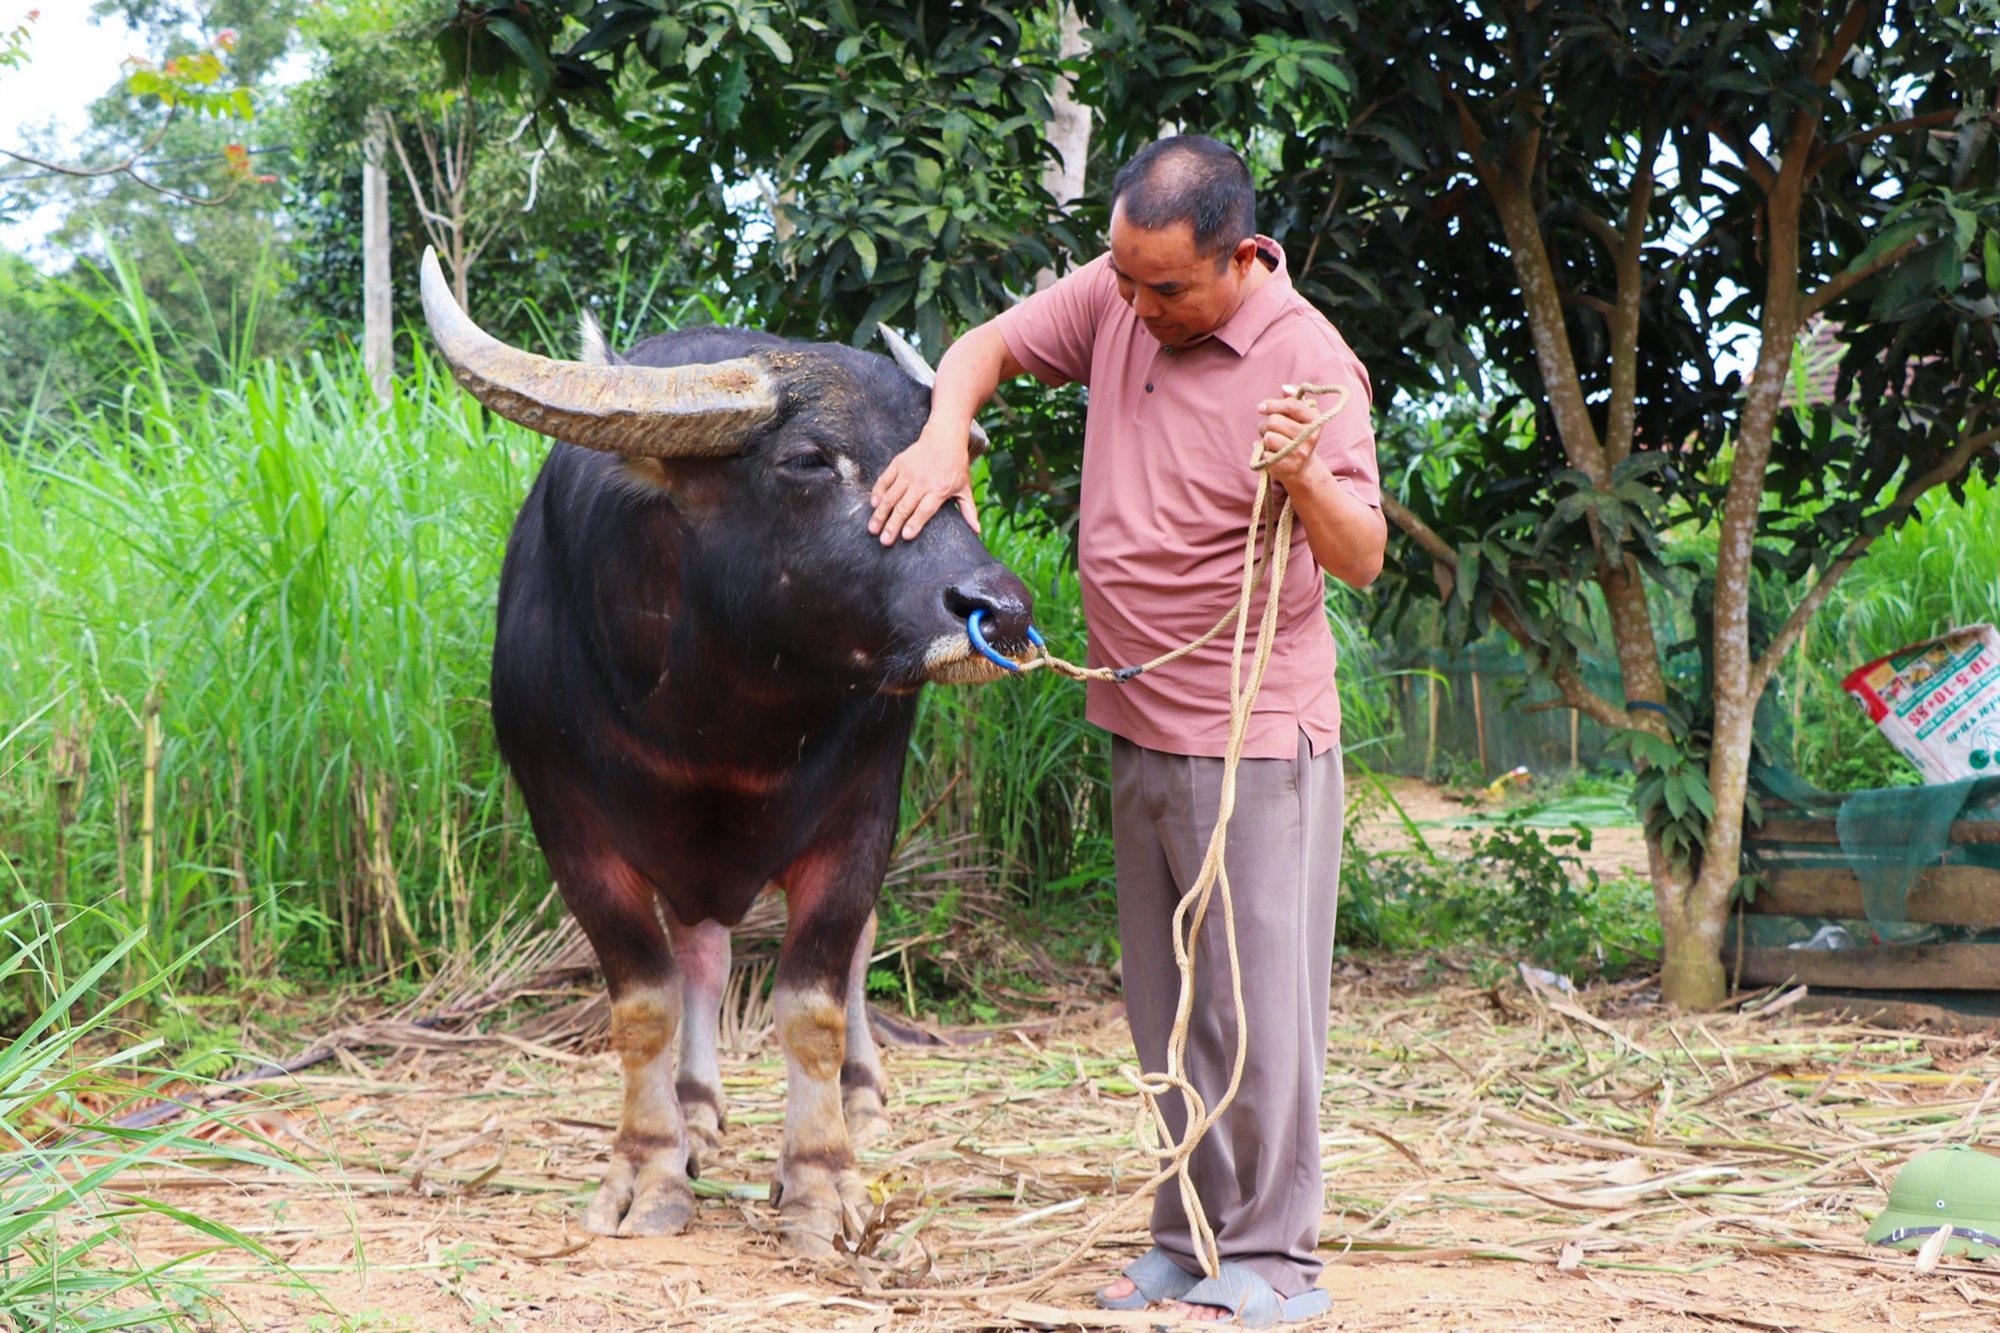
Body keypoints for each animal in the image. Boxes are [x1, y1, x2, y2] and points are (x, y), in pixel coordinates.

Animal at [428, 246, 1040, 1248]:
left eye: (953, 463)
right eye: (807, 459)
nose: (1002, 611)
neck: (717, 719)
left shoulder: (862, 814)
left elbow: (815, 1000)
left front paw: (823, 1175)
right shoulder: (568, 825)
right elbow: (645, 1001)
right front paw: (649, 1165)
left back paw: (857, 1095)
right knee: (702, 957)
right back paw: (695, 1107)